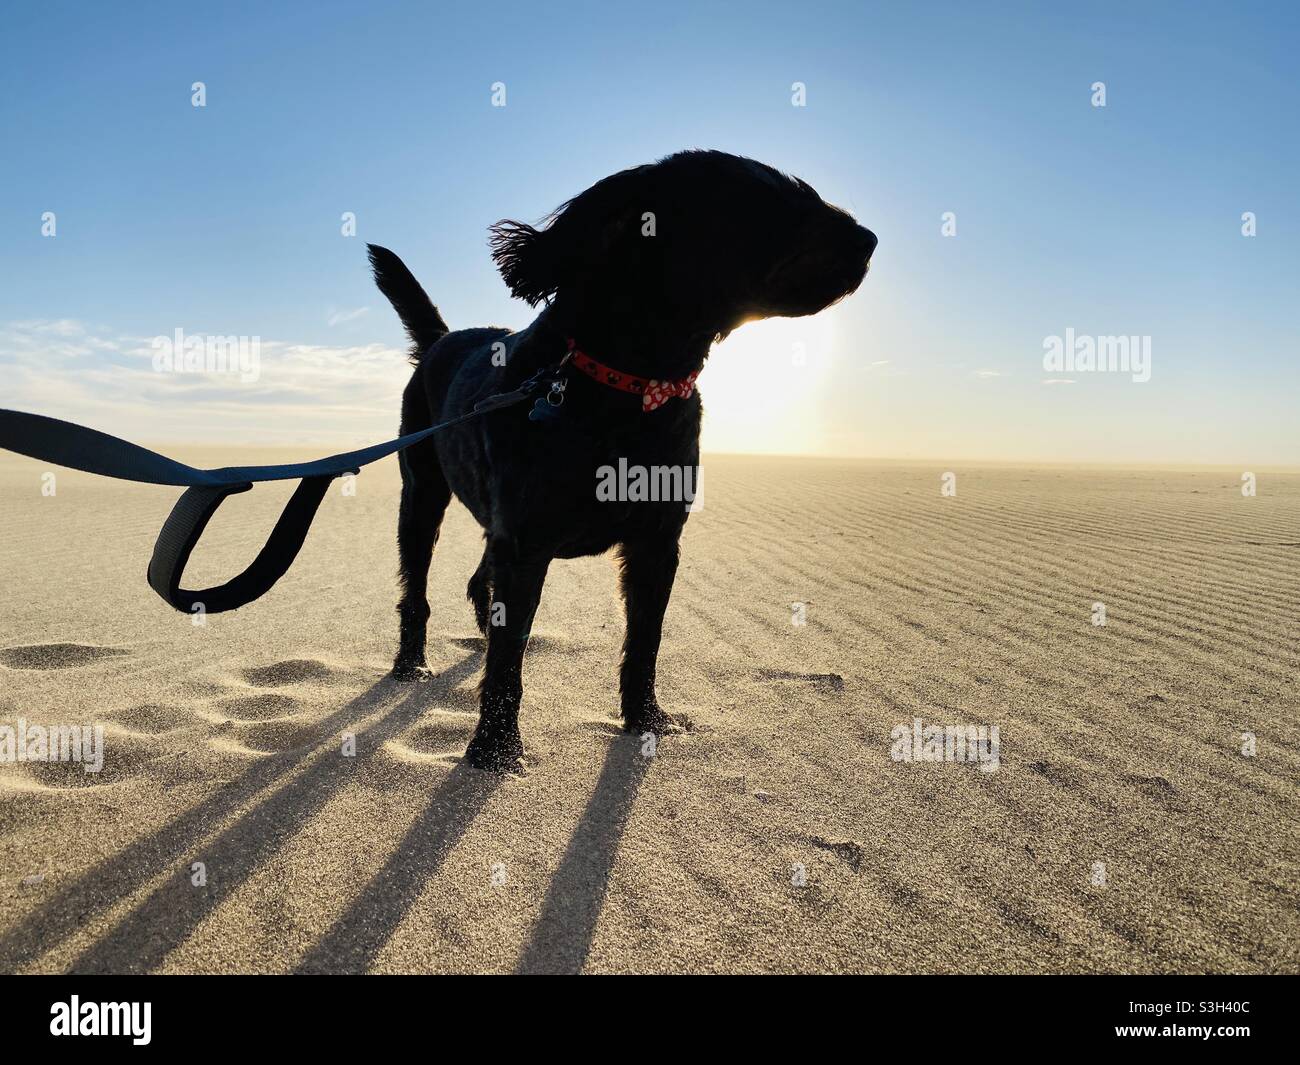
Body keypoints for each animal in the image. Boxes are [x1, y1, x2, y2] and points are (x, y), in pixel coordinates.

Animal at [366, 150, 873, 769]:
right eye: (764, 201)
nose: (869, 240)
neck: (624, 386)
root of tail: (440, 338)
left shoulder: (656, 541)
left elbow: (644, 642)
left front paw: (646, 720)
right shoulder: (526, 544)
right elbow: (507, 667)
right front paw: (496, 750)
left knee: (479, 584)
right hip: (422, 498)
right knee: (417, 591)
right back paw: (411, 663)